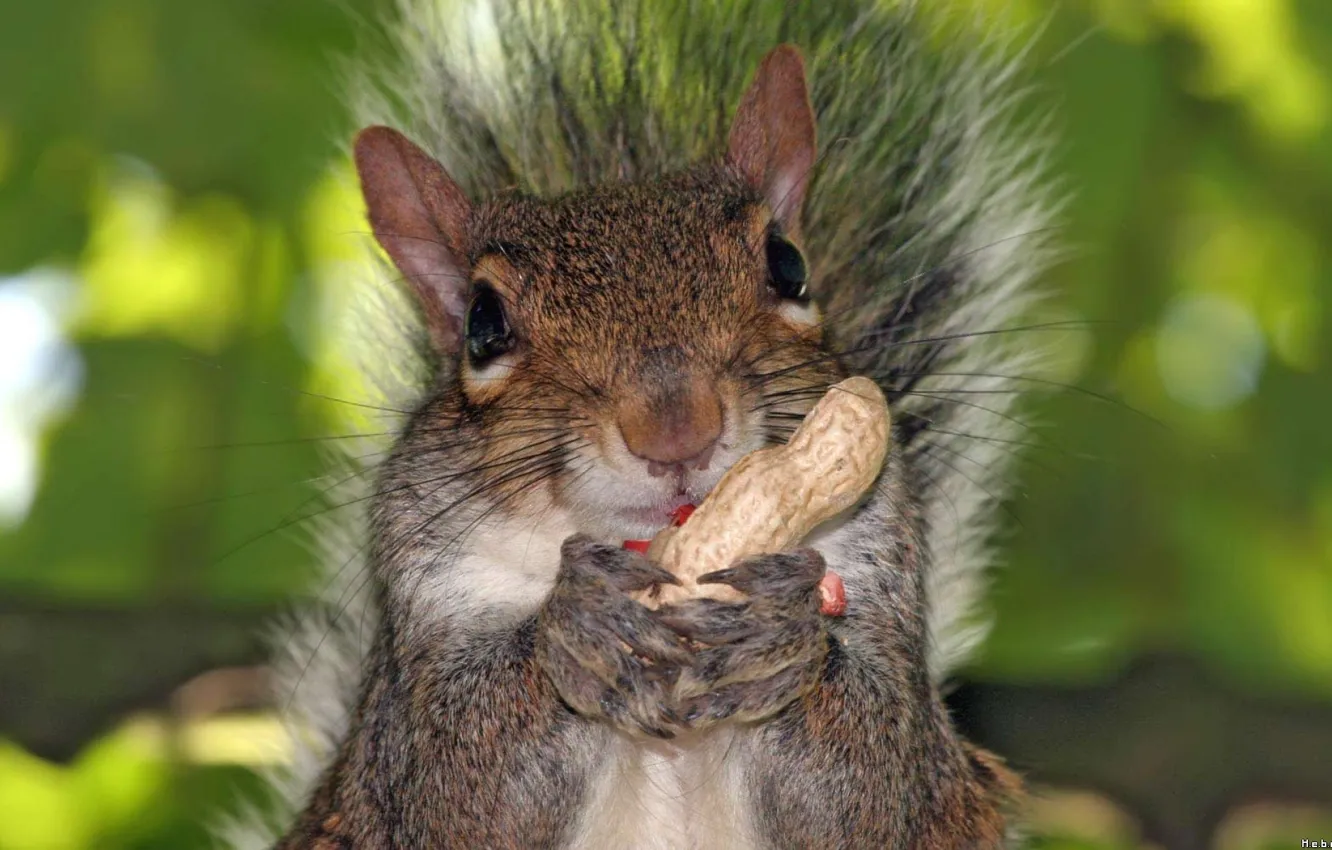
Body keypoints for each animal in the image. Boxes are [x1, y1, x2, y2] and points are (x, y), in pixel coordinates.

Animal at [224, 0, 1056, 847]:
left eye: (789, 266)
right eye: (483, 326)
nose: (676, 430)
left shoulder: (882, 572)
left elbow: (876, 784)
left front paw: (780, 630)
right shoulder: (419, 627)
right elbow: (456, 781)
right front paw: (579, 629)